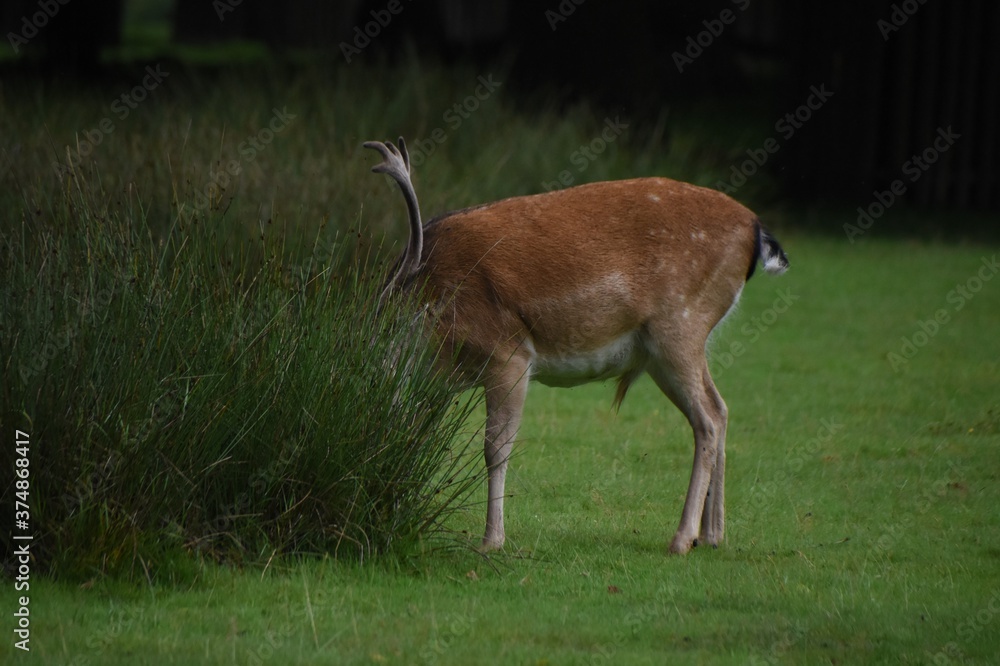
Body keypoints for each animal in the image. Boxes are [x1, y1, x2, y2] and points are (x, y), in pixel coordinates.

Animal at [363, 137, 788, 555]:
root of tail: (755, 229)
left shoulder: (509, 353)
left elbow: (495, 447)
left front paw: (491, 541)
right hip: (665, 351)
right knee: (721, 407)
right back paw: (712, 535)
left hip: (680, 326)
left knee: (709, 419)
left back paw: (682, 538)